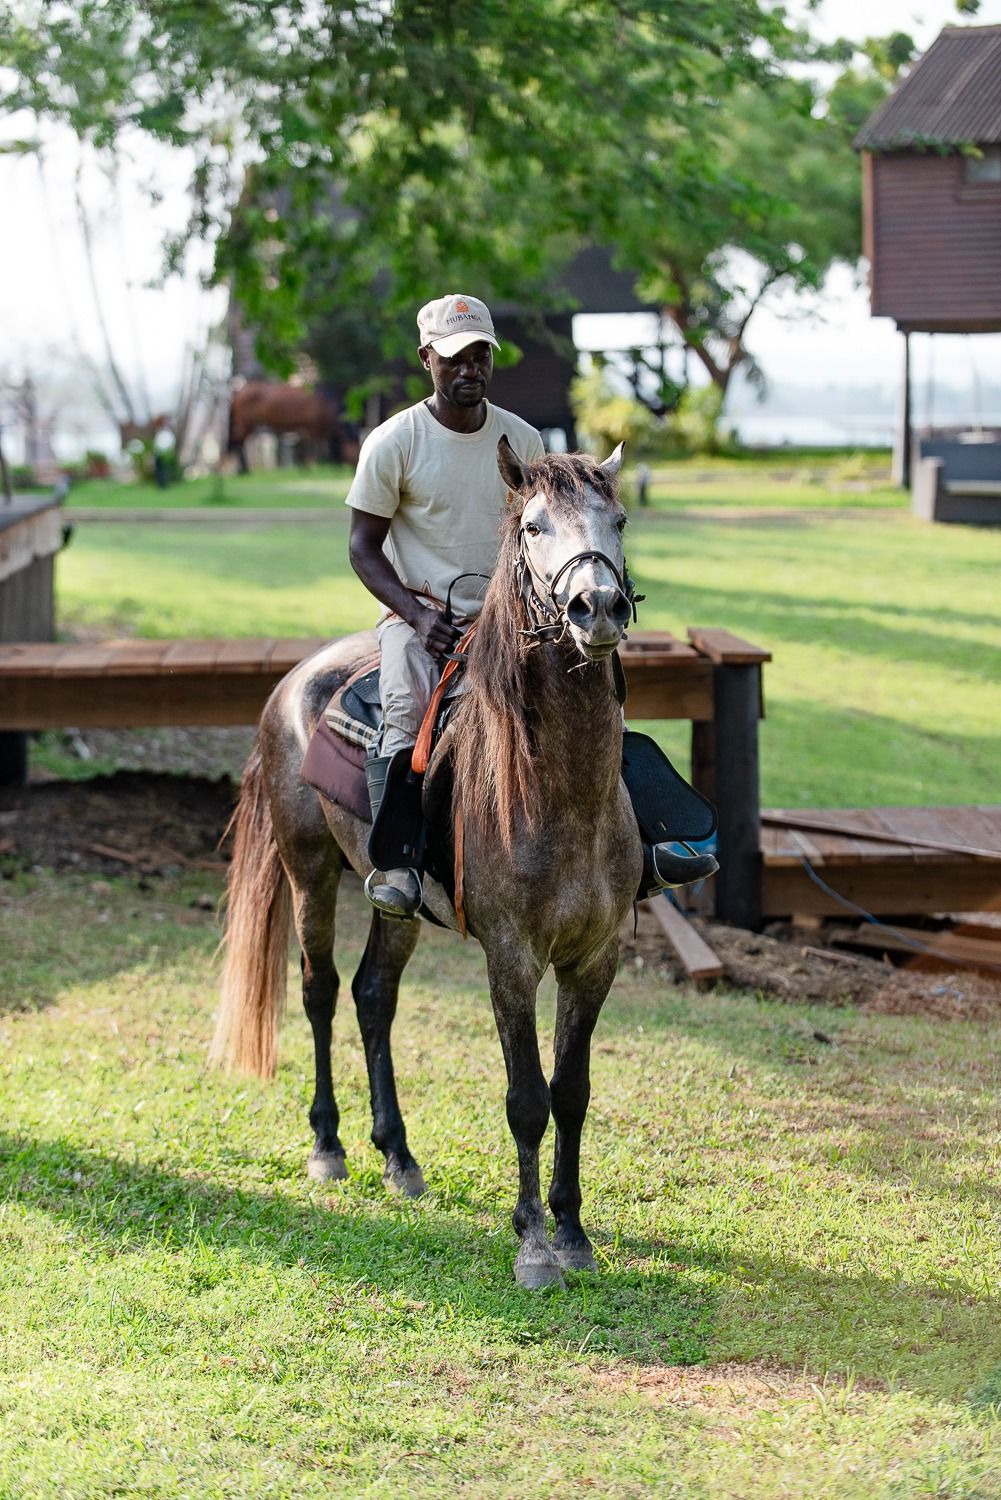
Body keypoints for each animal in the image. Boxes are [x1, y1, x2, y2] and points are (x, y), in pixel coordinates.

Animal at [211, 438, 641, 1288]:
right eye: (534, 527)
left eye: (616, 520)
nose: (598, 607)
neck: (560, 795)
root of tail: (294, 679)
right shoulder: (510, 957)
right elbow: (526, 1098)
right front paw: (532, 1243)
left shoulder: (594, 957)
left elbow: (572, 1091)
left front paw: (572, 1231)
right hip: (309, 872)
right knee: (319, 990)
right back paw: (329, 1144)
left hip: (395, 904)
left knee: (374, 994)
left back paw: (398, 1156)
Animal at [226, 381, 361, 473]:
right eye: (357, 450)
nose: (356, 468)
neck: (326, 402)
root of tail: (238, 392)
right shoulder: (311, 429)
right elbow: (313, 448)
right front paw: (310, 467)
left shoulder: (316, 430)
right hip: (245, 424)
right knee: (236, 442)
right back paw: (243, 470)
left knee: (237, 442)